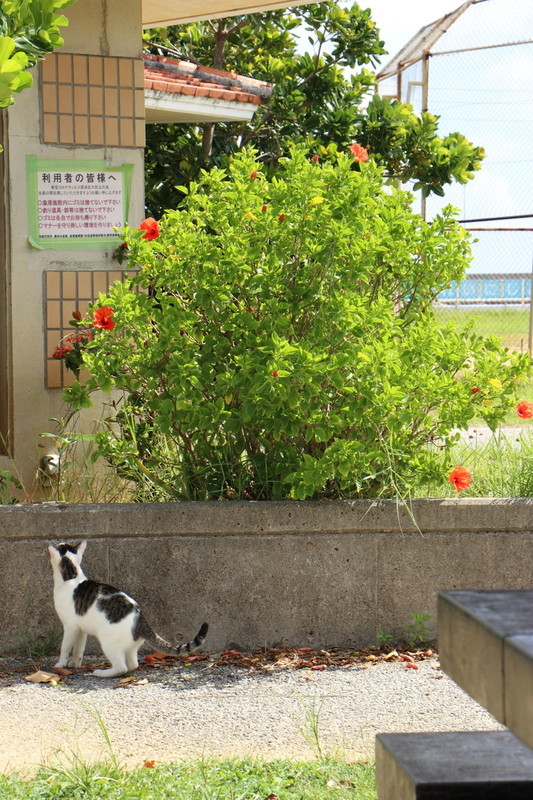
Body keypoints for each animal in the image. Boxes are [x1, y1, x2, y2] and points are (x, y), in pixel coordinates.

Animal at [48, 540, 208, 680]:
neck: (72, 577)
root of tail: (141, 620)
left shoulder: (70, 626)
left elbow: (65, 647)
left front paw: (60, 664)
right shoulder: (81, 629)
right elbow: (78, 648)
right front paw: (75, 663)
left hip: (108, 642)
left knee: (122, 667)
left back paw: (101, 673)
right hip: (130, 647)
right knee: (133, 665)